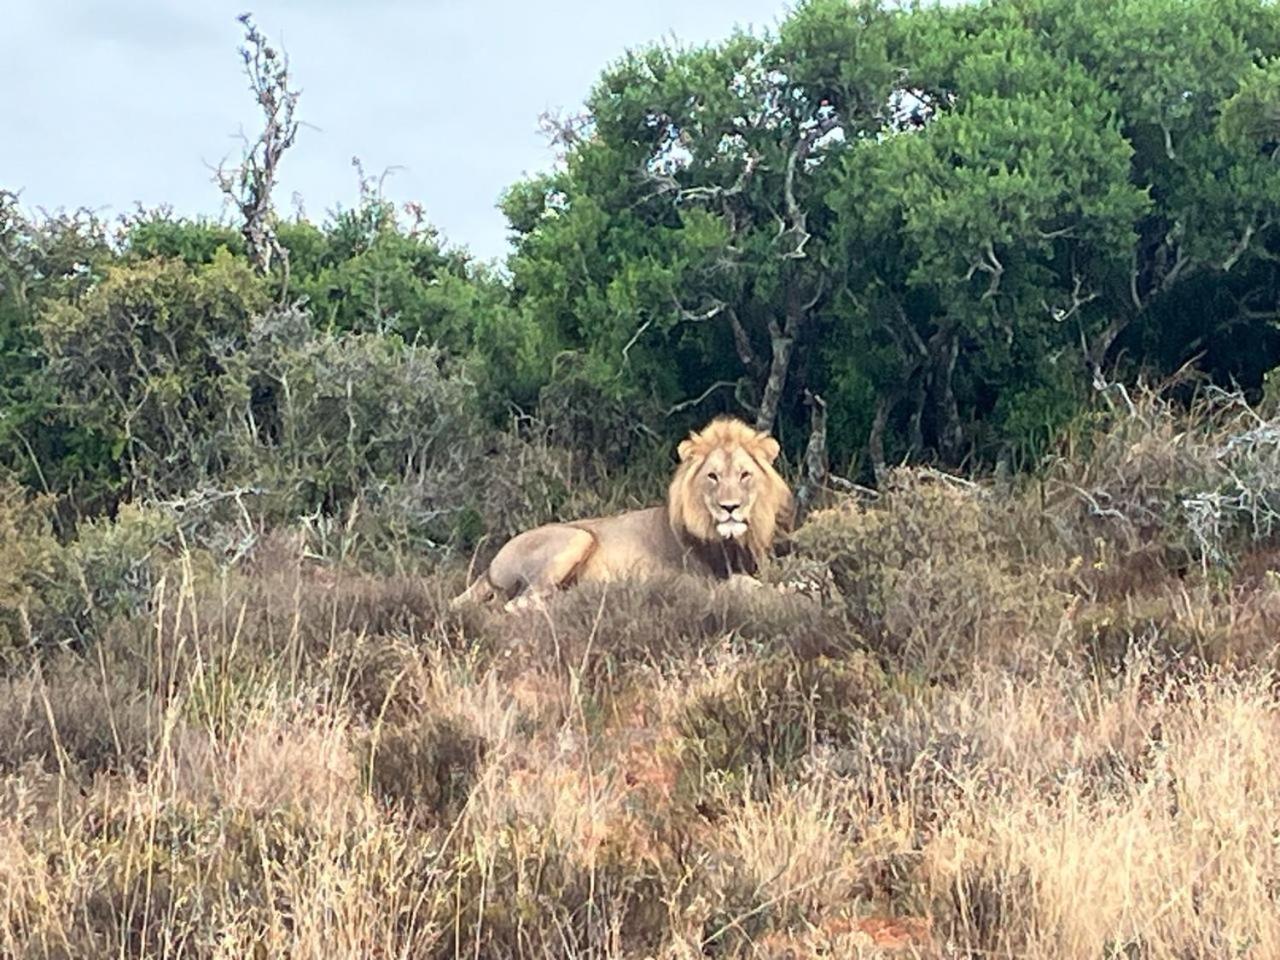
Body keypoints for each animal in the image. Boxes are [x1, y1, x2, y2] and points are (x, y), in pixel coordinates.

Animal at [448, 417, 788, 611]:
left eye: (744, 475)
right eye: (713, 477)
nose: (730, 508)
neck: (731, 540)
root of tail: (489, 566)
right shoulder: (697, 581)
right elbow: (745, 586)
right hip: (576, 537)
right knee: (519, 604)